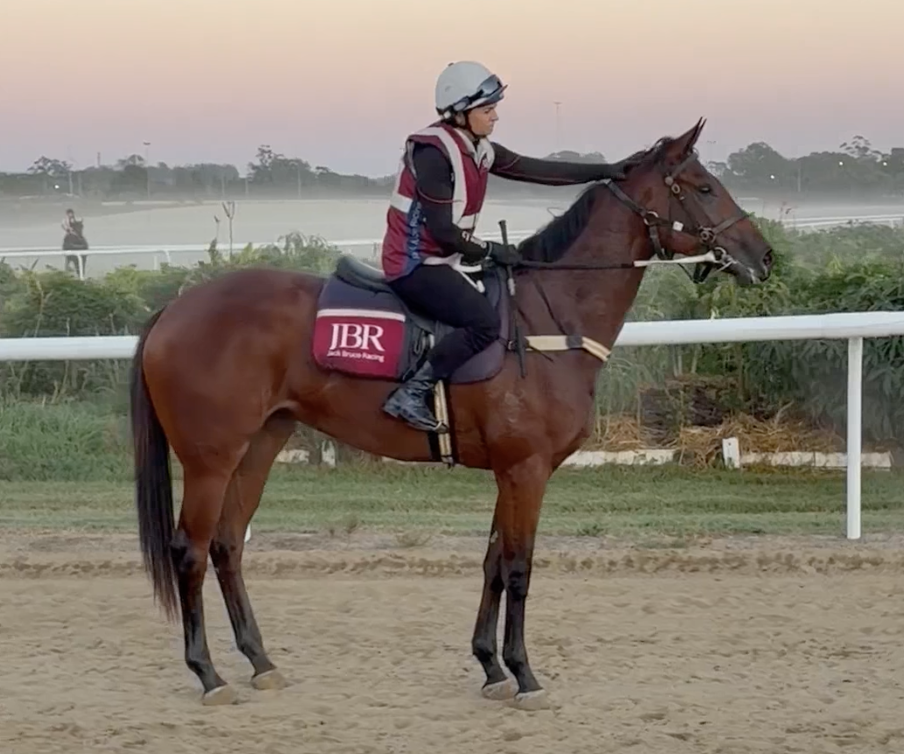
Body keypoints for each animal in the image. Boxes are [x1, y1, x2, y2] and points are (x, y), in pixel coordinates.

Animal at [130, 118, 773, 709]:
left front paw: (490, 667)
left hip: (261, 443)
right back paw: (209, 674)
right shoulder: (527, 470)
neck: (545, 319)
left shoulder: (511, 472)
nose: (763, 257)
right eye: (704, 186)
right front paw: (525, 674)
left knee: (227, 545)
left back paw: (260, 662)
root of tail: (174, 309)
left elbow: (492, 563)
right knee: (190, 549)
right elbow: (518, 567)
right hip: (211, 458)